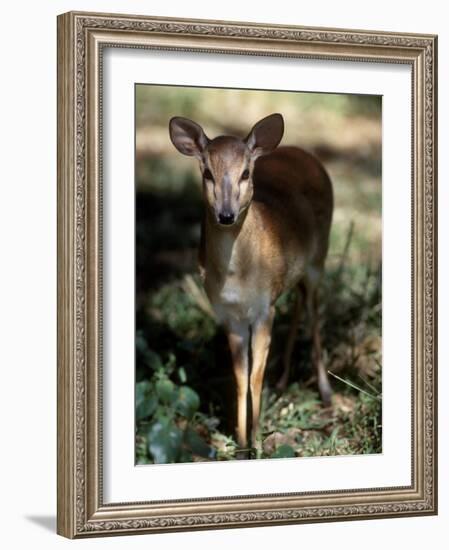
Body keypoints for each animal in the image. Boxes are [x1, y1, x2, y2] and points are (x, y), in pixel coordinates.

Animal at [168, 114, 332, 454]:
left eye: (245, 173)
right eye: (207, 172)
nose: (226, 215)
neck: (239, 275)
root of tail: (306, 155)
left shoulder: (262, 308)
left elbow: (256, 377)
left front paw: (258, 440)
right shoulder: (229, 315)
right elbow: (240, 378)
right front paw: (242, 442)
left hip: (318, 259)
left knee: (313, 313)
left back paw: (326, 394)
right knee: (299, 302)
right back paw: (282, 383)